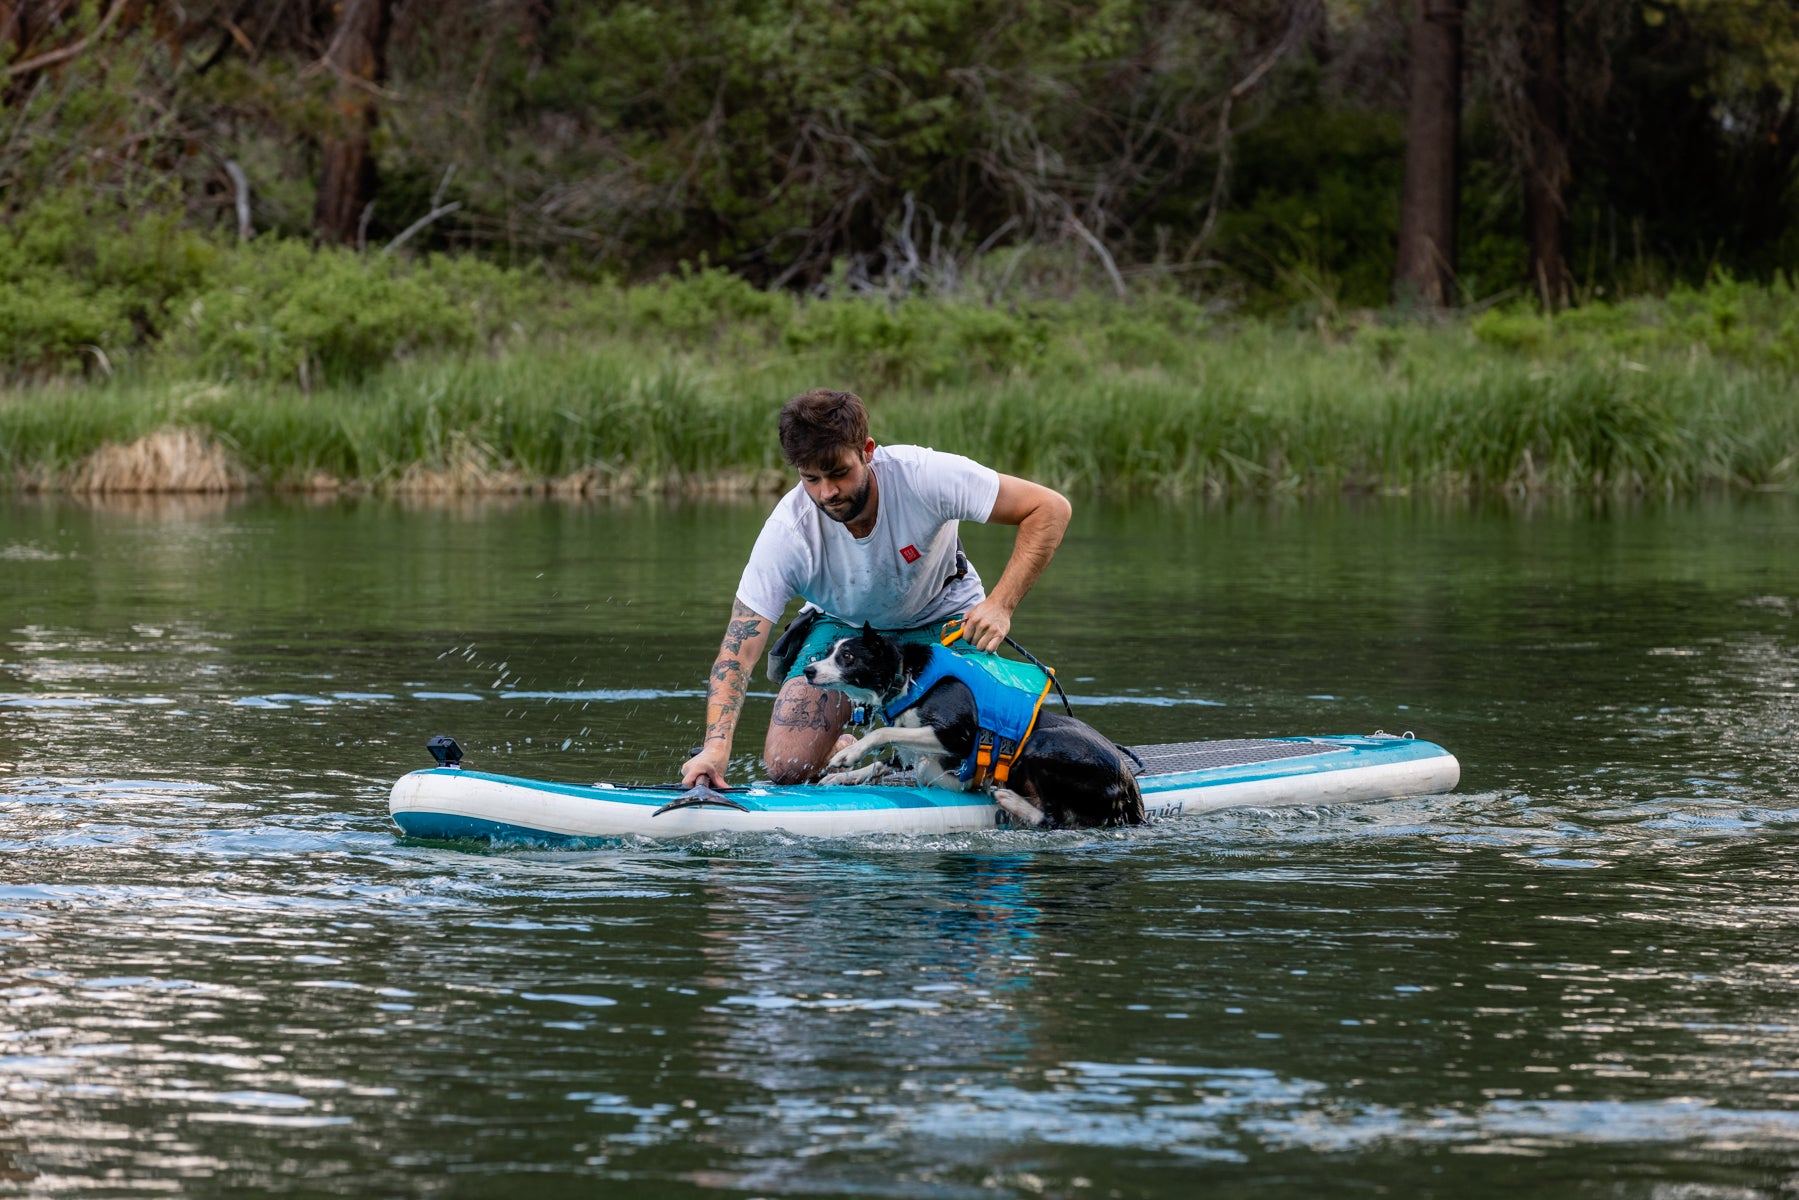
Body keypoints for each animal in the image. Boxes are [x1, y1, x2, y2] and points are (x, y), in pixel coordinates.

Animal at [802, 626, 1136, 831]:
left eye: (847, 656)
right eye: (829, 651)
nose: (808, 670)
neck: (907, 679)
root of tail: (1128, 779)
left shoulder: (957, 737)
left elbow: (885, 735)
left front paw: (847, 756)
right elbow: (888, 760)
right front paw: (842, 776)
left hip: (1041, 745)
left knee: (1056, 818)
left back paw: (1010, 800)